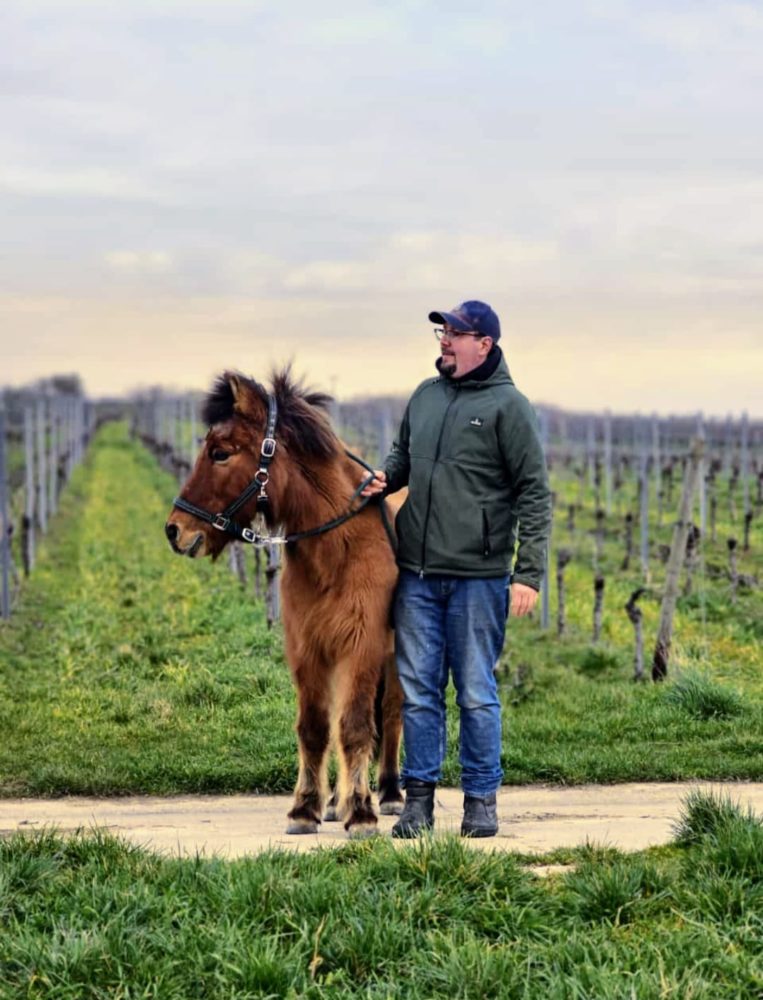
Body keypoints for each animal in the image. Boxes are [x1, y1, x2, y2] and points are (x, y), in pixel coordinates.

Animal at [164, 368, 406, 836]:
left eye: (220, 453)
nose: (174, 530)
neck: (338, 549)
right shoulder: (307, 649)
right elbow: (314, 728)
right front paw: (307, 808)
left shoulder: (361, 648)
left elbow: (355, 727)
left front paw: (361, 812)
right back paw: (335, 801)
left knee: (391, 714)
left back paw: (388, 793)